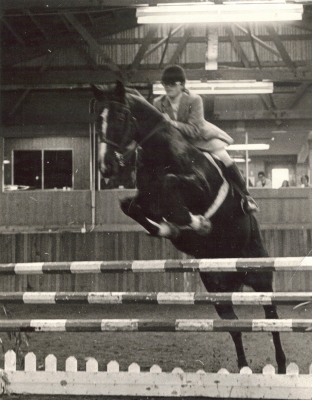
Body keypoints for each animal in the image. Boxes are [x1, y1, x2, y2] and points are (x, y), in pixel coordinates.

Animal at [90, 79, 286, 374]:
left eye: (121, 117)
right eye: (98, 118)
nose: (106, 167)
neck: (160, 152)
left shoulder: (199, 186)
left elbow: (170, 183)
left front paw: (199, 223)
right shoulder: (147, 200)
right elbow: (130, 206)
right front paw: (171, 229)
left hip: (259, 274)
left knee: (271, 317)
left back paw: (282, 365)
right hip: (217, 289)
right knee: (235, 327)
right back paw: (243, 368)